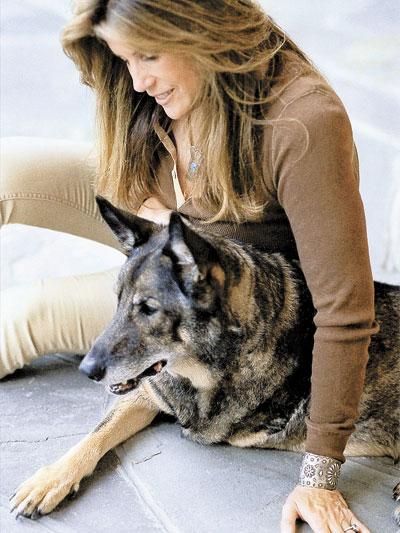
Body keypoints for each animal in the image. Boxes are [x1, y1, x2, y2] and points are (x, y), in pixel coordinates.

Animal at [10, 197, 398, 520]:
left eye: (148, 308)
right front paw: (50, 479)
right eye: (117, 300)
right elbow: (96, 433)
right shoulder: (146, 396)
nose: (86, 370)